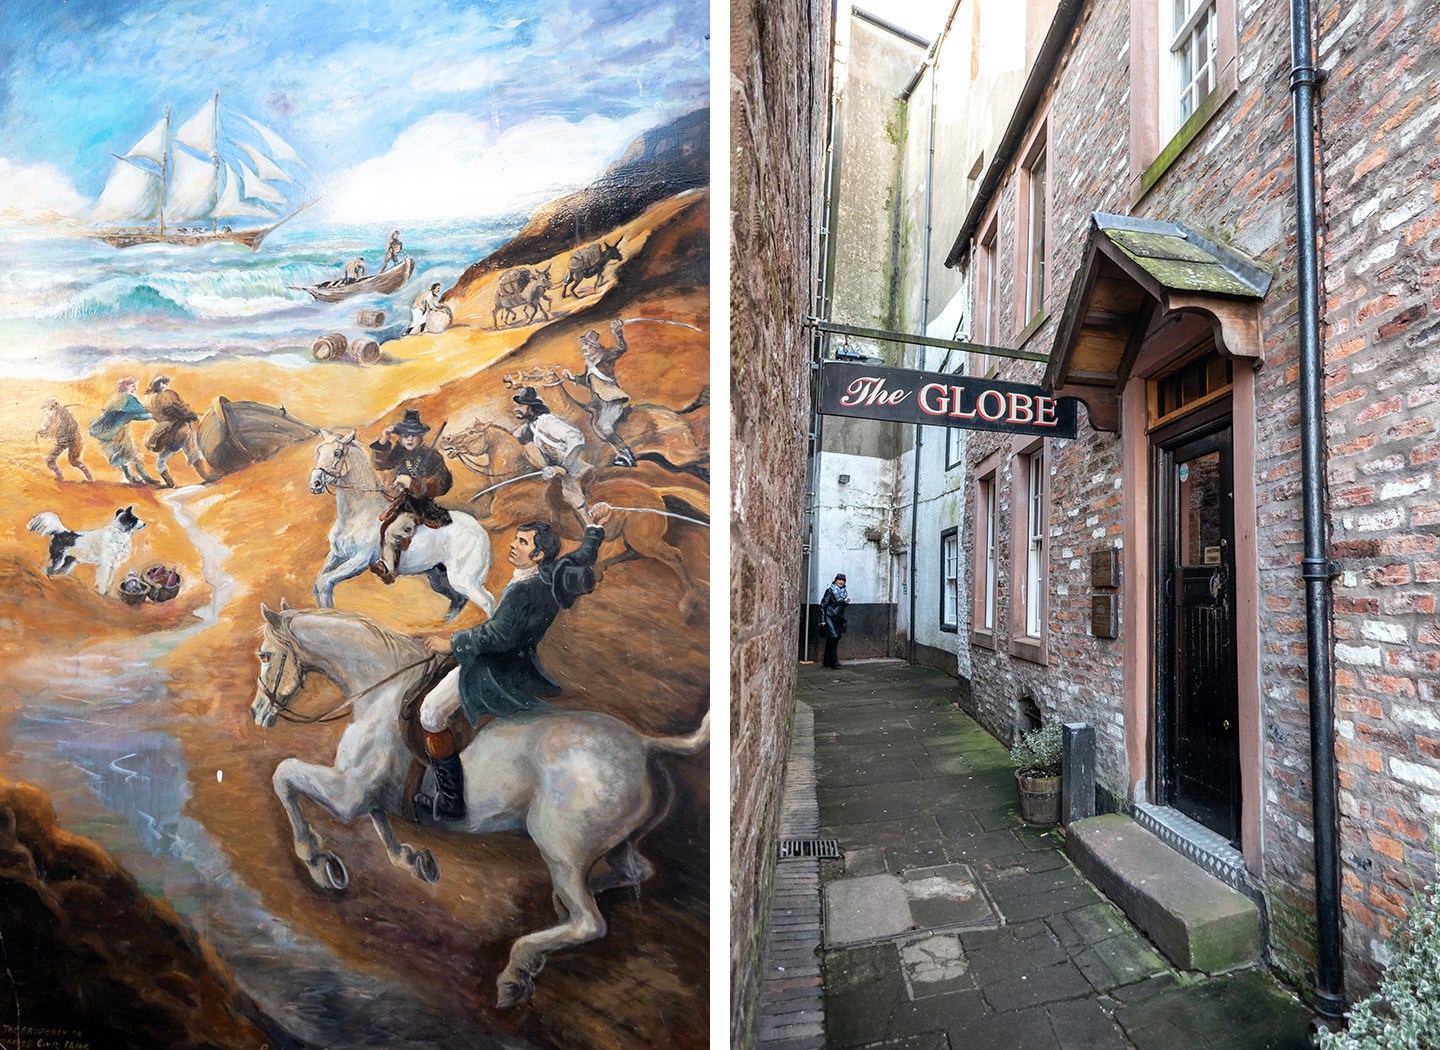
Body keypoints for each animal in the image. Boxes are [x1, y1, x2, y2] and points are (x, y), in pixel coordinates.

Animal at [254, 604, 714, 1008]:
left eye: (265, 655)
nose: (259, 713)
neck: (382, 692)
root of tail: (643, 743)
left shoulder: (346, 793)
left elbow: (285, 775)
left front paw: (318, 861)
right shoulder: (363, 791)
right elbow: (380, 818)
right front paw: (410, 859)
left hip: (561, 850)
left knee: (589, 922)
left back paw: (517, 972)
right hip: (615, 844)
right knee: (633, 873)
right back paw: (558, 907)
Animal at [309, 429, 495, 619]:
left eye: (336, 453)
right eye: (319, 452)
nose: (315, 483)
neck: (359, 516)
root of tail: (480, 530)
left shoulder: (358, 560)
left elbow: (324, 582)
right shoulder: (337, 555)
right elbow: (319, 584)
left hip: (463, 579)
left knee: (487, 602)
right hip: (438, 575)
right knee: (458, 599)